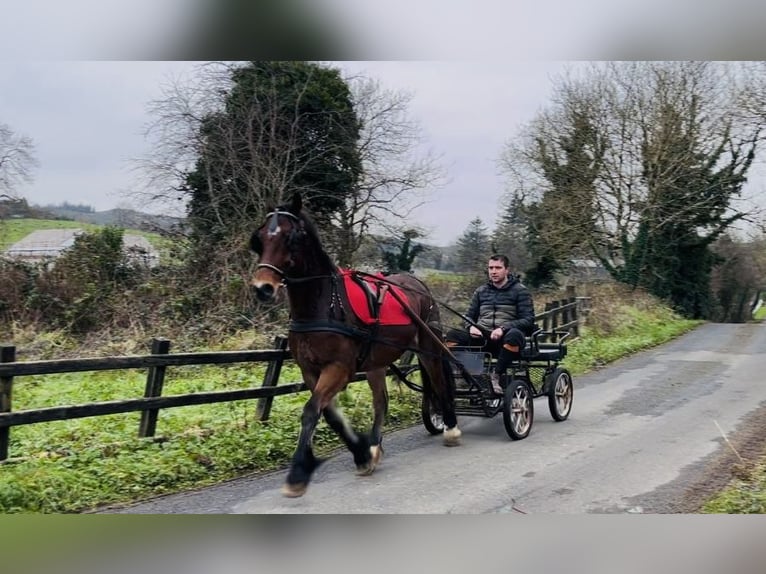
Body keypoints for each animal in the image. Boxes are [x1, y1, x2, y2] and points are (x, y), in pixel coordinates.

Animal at [250, 194, 462, 500]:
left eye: (291, 237)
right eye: (260, 238)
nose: (262, 288)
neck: (322, 305)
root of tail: (418, 284)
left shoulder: (339, 368)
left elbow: (311, 411)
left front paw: (298, 472)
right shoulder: (310, 371)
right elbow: (329, 414)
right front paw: (362, 453)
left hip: (428, 348)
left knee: (440, 383)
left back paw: (451, 428)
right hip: (376, 361)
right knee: (381, 401)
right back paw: (374, 444)